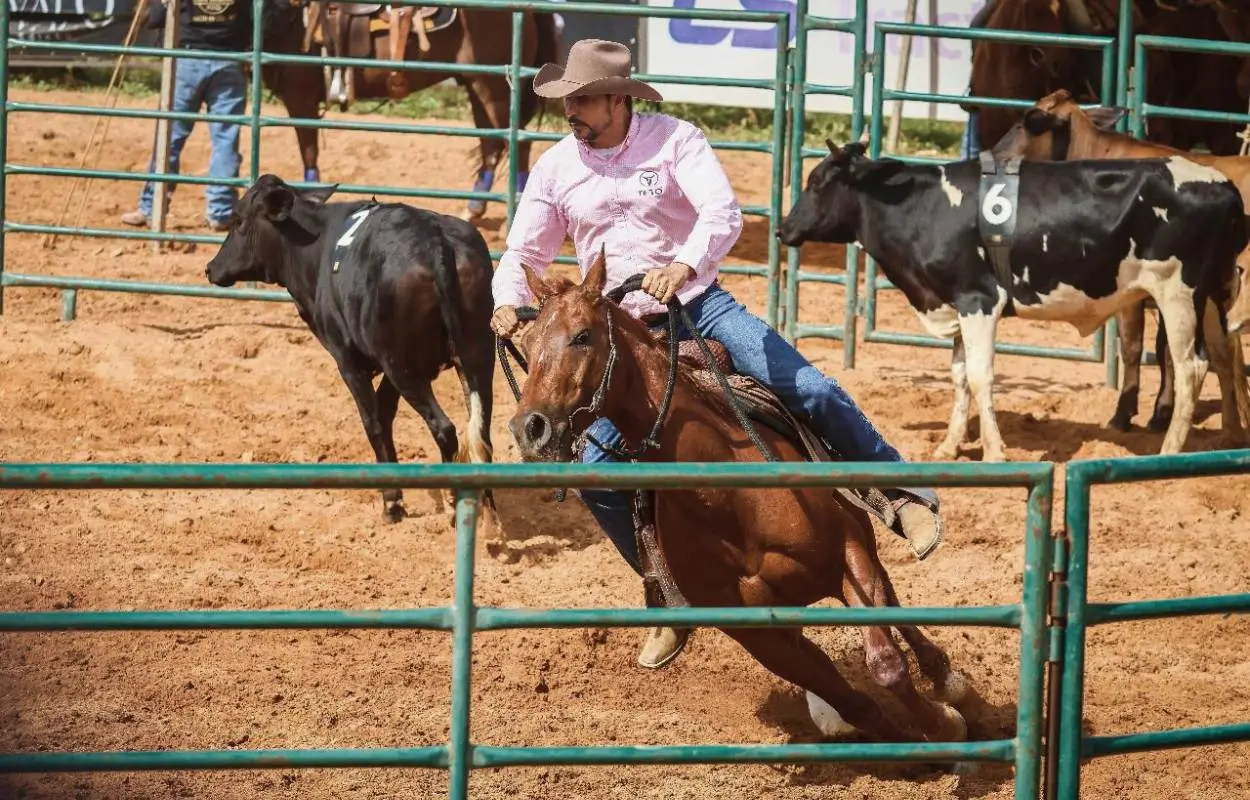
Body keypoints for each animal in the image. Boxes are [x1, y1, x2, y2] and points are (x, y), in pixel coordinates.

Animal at [257, 0, 560, 223]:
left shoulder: (300, 97)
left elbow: (309, 152)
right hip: (478, 87)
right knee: (492, 145)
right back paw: (473, 209)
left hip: (493, 88)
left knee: (517, 144)